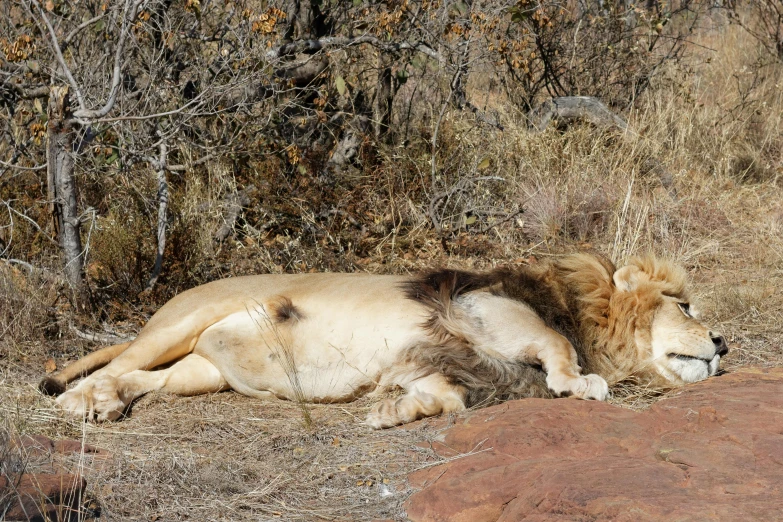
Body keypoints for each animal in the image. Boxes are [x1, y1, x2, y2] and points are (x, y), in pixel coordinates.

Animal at [41, 252, 728, 426]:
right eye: (685, 305)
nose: (723, 343)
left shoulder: (446, 365)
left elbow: (443, 398)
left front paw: (391, 413)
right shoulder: (484, 310)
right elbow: (558, 349)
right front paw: (582, 383)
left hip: (200, 371)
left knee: (142, 380)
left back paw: (107, 404)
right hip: (183, 323)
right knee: (114, 365)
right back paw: (78, 402)